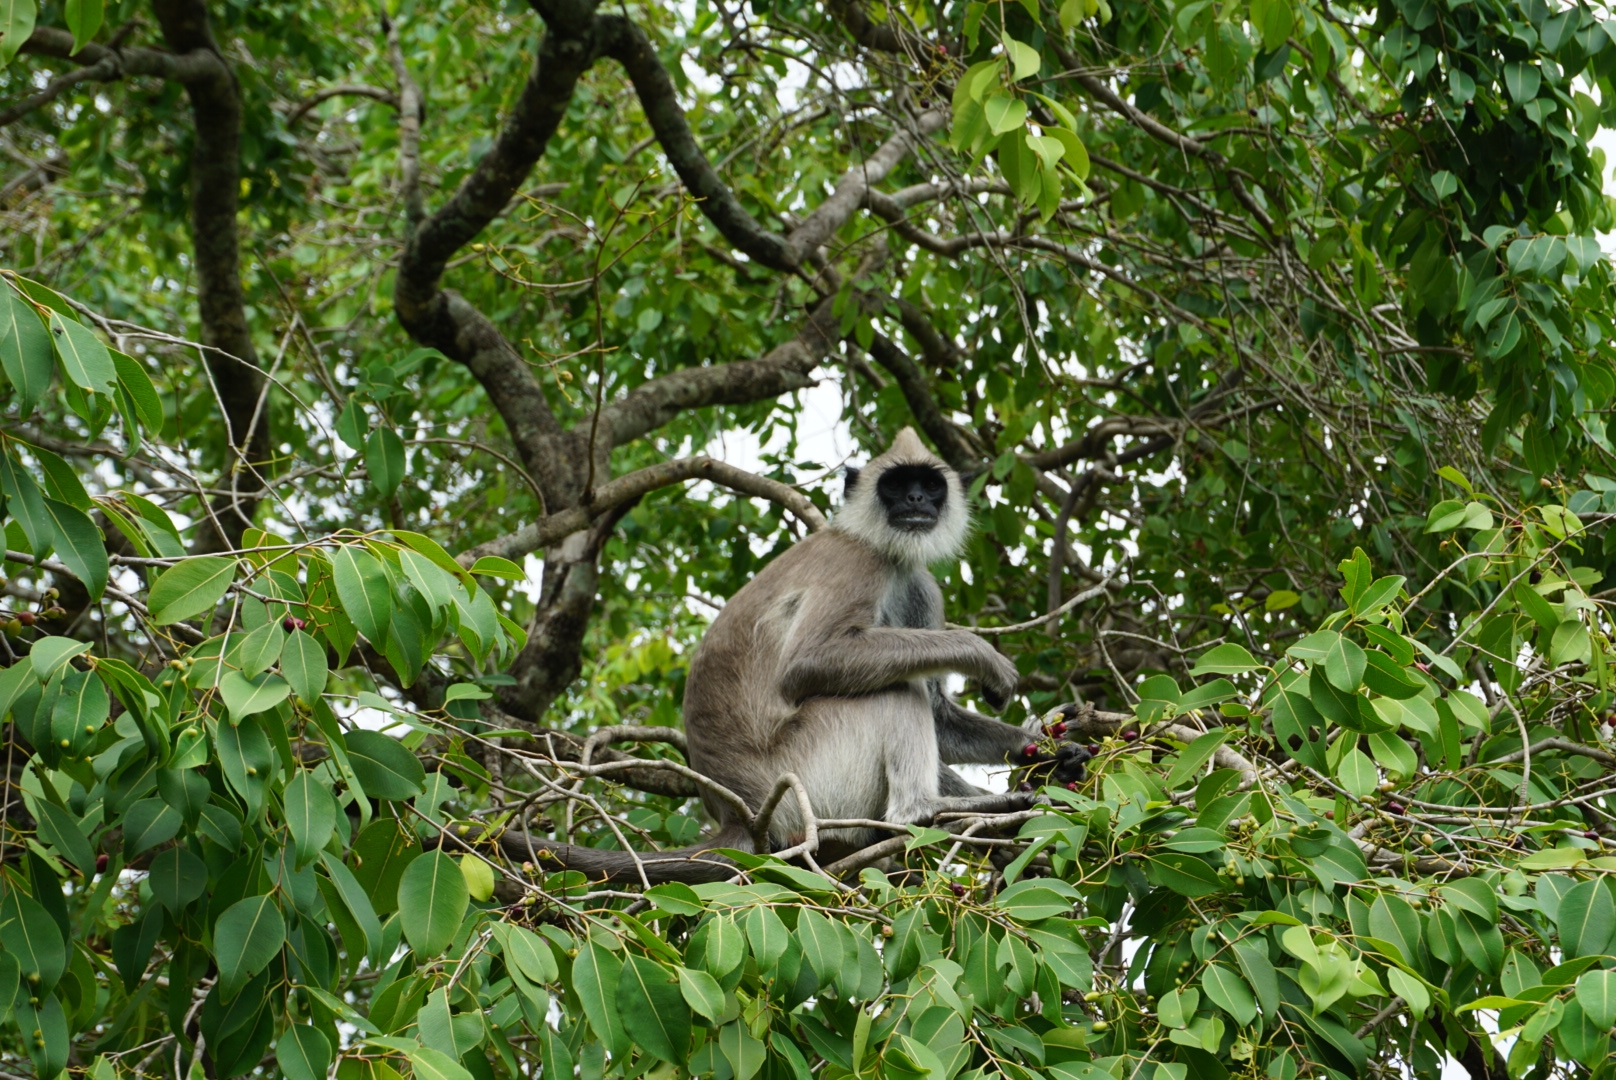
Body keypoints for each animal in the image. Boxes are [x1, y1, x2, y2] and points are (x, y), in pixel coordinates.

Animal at [504, 426, 1085, 879]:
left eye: (930, 488)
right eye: (897, 487)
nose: (916, 504)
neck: (880, 547)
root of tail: (736, 814)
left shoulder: (919, 584)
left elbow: (941, 717)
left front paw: (1052, 755)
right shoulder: (856, 564)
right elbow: (810, 664)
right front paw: (981, 656)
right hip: (804, 772)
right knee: (893, 690)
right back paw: (926, 813)